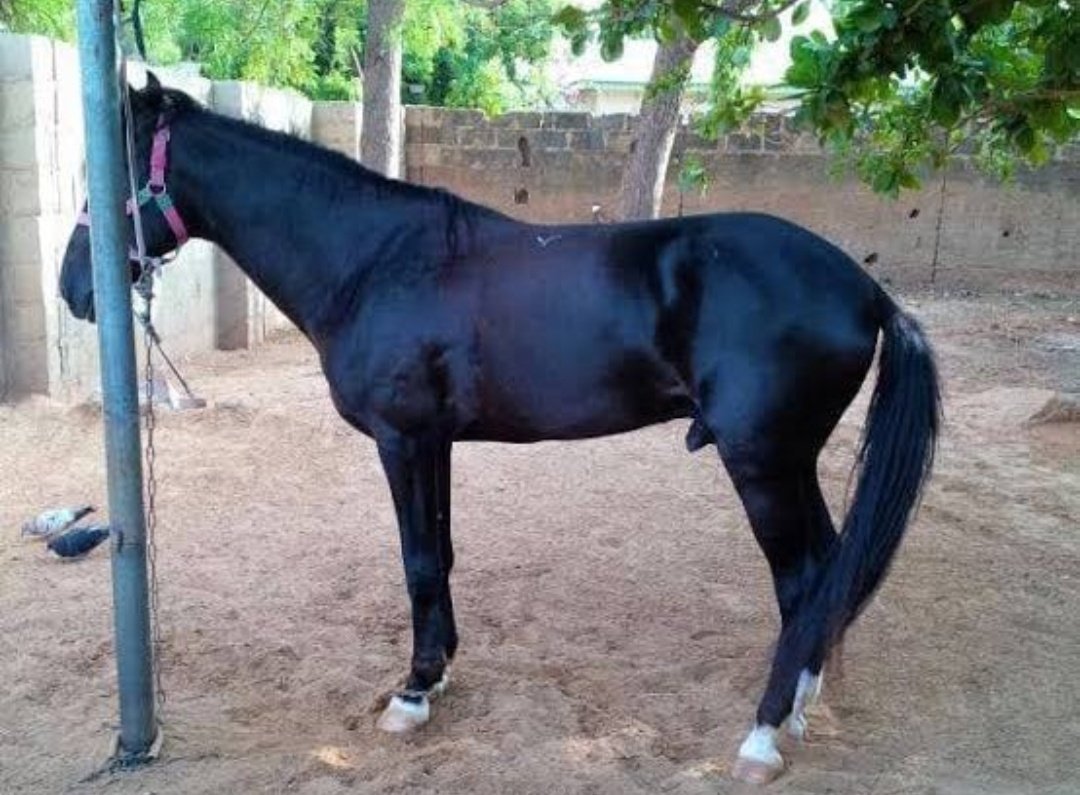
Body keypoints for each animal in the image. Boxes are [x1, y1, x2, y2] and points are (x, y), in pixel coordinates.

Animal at [59, 76, 940, 784]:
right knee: (829, 567)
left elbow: (417, 561)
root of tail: (866, 290)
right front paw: (441, 672)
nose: (76, 288)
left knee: (802, 579)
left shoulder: (402, 439)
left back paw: (762, 733)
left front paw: (412, 693)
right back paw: (800, 705)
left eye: (119, 166)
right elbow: (442, 555)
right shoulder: (436, 442)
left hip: (762, 463)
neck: (375, 259)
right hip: (792, 461)